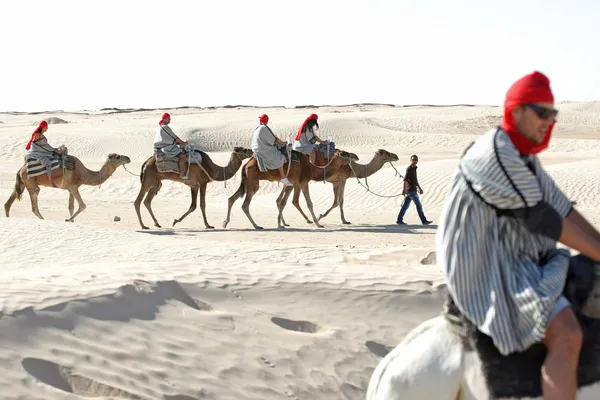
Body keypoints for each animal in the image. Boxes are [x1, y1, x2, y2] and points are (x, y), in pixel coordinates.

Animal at [223, 148, 358, 230]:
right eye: (346, 154)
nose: (356, 156)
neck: (312, 169)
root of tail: (246, 164)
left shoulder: (291, 183)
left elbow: (283, 202)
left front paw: (280, 223)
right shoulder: (303, 181)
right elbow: (309, 203)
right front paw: (318, 223)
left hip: (246, 182)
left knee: (231, 198)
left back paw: (225, 222)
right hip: (253, 182)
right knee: (245, 204)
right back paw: (256, 226)